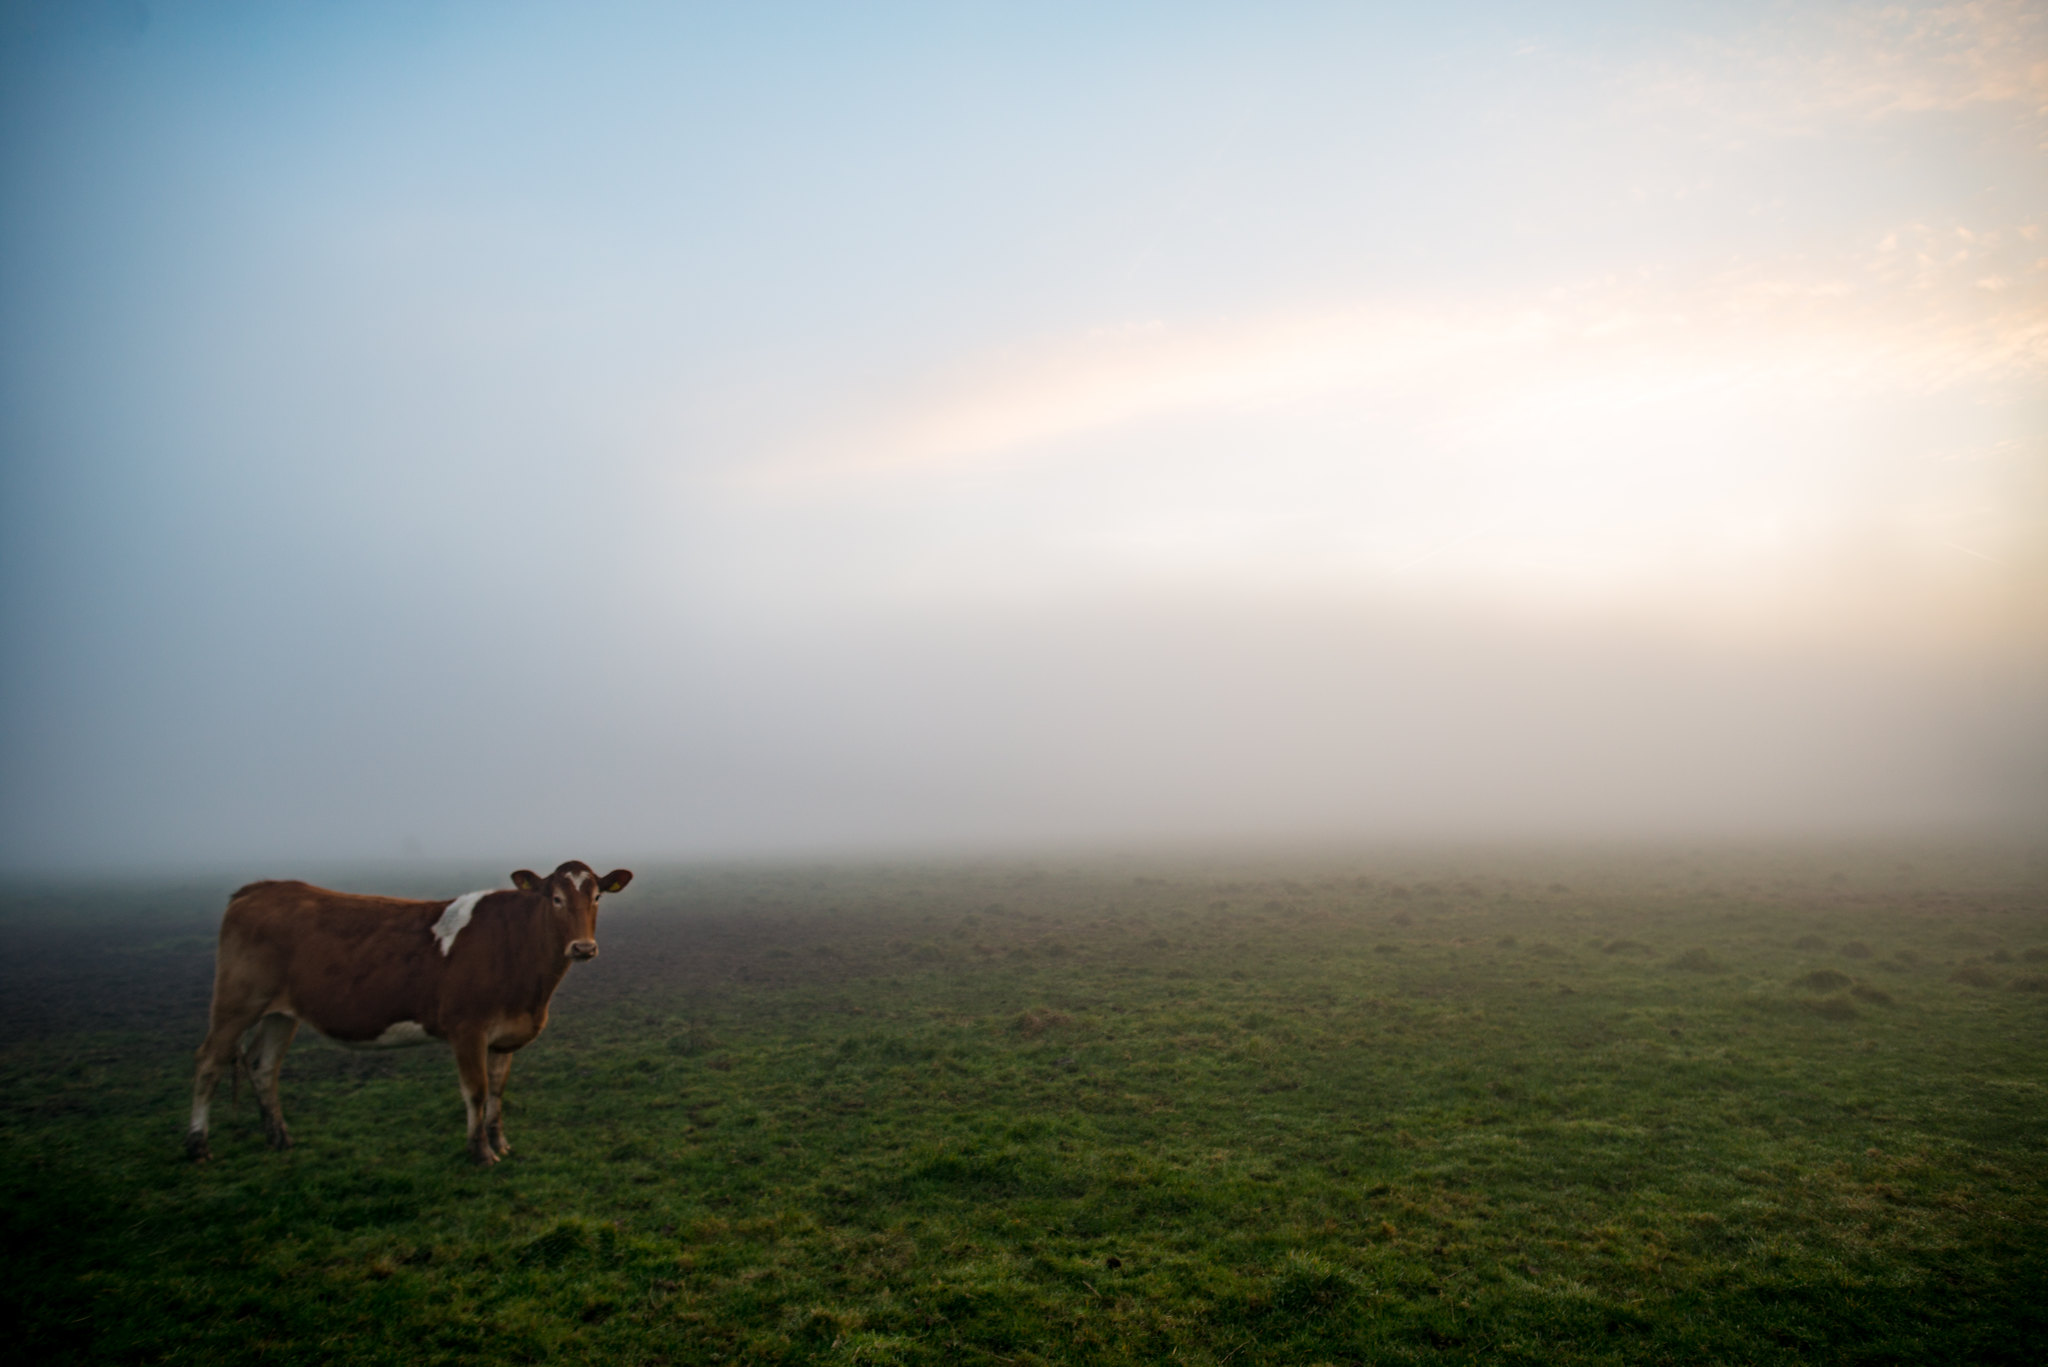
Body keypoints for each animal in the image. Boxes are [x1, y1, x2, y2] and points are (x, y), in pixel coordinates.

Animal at [189, 856, 630, 1164]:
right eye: (555, 898)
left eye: (596, 897)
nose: (583, 948)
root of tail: (257, 889)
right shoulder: (466, 1029)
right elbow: (476, 1090)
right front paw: (480, 1152)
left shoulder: (503, 1036)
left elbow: (497, 1091)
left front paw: (500, 1142)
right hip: (235, 1002)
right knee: (209, 1062)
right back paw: (198, 1146)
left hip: (280, 1013)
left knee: (263, 1065)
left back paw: (279, 1138)